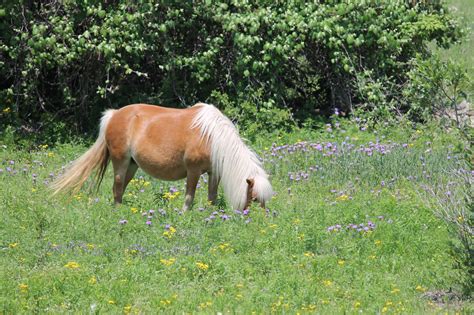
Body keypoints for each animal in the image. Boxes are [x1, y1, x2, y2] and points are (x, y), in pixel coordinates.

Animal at [51, 103, 274, 211]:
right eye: (255, 199)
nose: (260, 224)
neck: (212, 137)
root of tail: (114, 114)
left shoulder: (214, 172)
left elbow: (211, 196)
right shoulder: (193, 171)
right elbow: (189, 197)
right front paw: (185, 216)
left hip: (132, 165)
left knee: (120, 189)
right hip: (120, 161)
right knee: (117, 188)